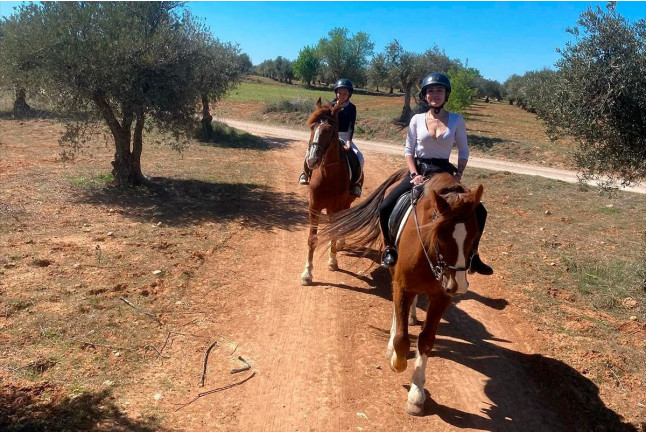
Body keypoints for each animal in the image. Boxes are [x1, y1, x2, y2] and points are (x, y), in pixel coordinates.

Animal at [300, 98, 358, 286]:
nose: (312, 160)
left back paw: (340, 242)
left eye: (329, 130)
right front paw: (307, 273)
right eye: (312, 128)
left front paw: (333, 261)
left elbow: (334, 231)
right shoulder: (314, 207)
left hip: (345, 203)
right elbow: (312, 239)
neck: (328, 174)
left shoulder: (335, 208)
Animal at [319, 169, 484, 415]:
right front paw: (397, 361)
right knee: (398, 315)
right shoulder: (402, 286)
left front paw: (416, 393)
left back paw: (413, 316)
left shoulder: (441, 297)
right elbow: (402, 338)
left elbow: (426, 340)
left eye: (474, 235)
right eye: (441, 236)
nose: (459, 285)